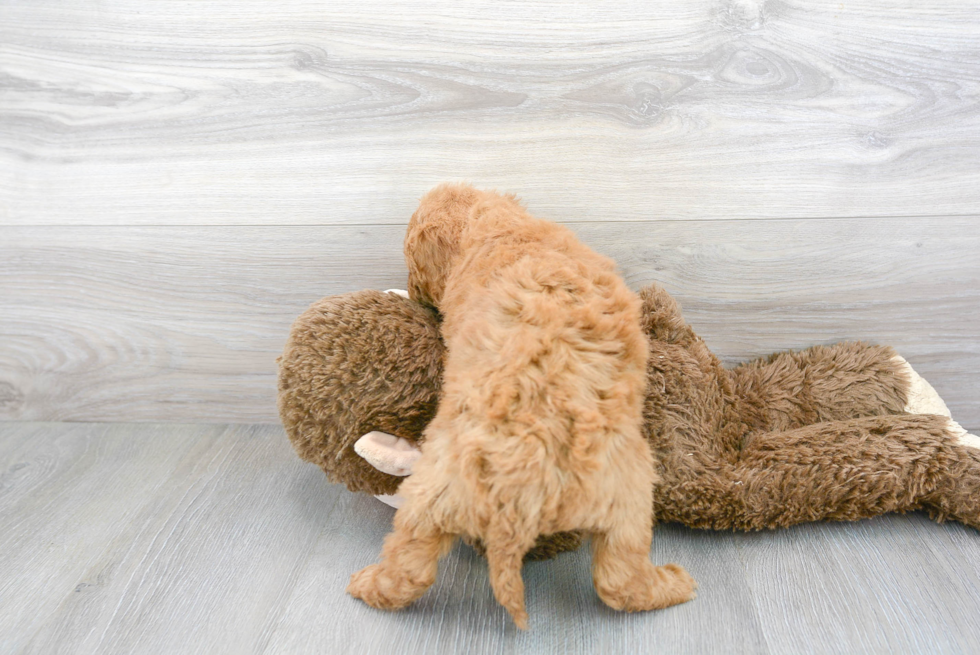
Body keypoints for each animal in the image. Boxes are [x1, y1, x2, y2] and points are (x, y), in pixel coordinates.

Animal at [346, 186, 696, 632]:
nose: (413, 290)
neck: (489, 223)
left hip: (439, 494)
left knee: (411, 563)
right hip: (629, 490)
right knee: (620, 579)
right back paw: (675, 584)